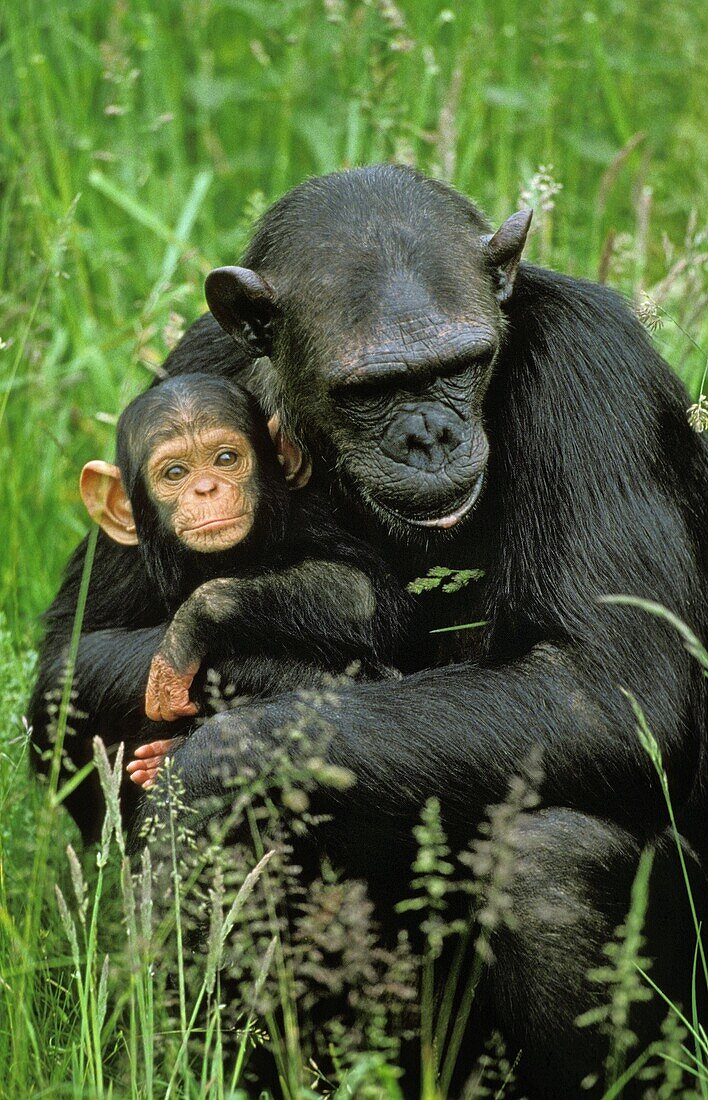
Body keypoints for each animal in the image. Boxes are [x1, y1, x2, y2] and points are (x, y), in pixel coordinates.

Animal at [28, 160, 703, 1091]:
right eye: (371, 391)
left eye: (462, 365)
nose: (429, 435)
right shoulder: (189, 367)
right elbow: (68, 663)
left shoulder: (599, 371)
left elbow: (611, 689)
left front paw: (225, 756)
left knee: (548, 863)